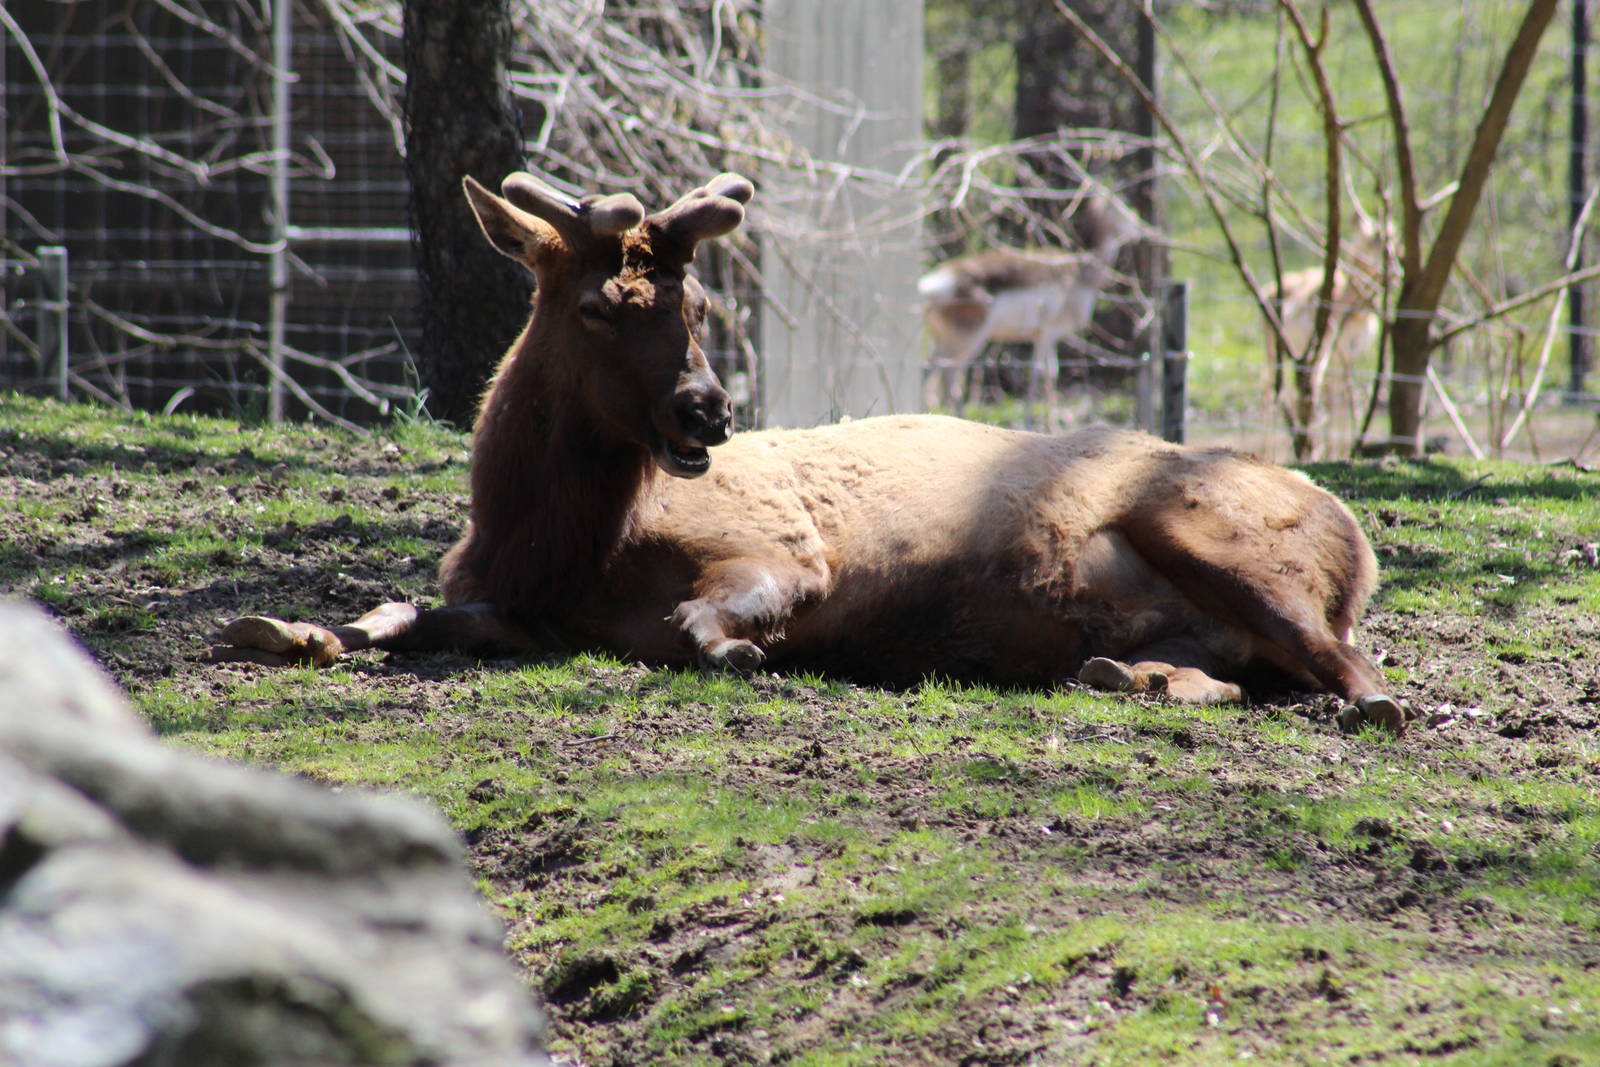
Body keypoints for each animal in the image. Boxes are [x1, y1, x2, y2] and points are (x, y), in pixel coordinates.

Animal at [919, 195, 1143, 430]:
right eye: (1120, 207)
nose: (1139, 227)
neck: (1080, 274)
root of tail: (934, 283)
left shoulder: (1045, 337)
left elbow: (1051, 373)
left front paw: (1051, 425)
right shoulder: (1047, 332)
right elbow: (1040, 372)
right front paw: (1035, 424)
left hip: (949, 341)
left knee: (935, 373)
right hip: (968, 341)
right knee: (944, 374)